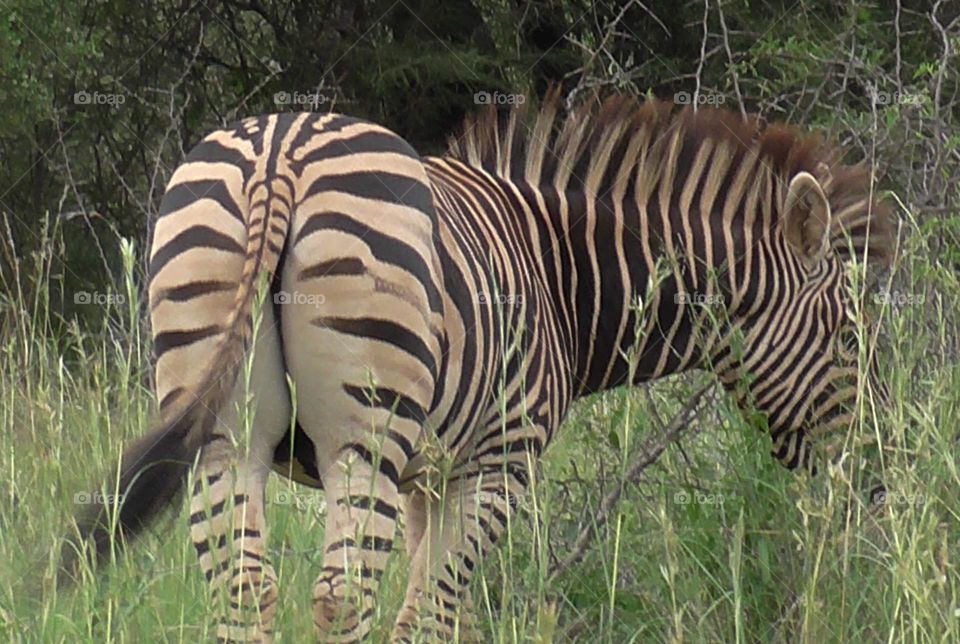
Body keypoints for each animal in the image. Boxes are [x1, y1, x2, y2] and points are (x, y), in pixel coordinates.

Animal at [62, 92, 894, 642]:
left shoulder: (429, 474)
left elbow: (435, 614)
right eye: (851, 335)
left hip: (223, 434)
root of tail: (280, 158)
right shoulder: (495, 464)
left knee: (244, 590)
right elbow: (428, 615)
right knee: (340, 598)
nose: (882, 471)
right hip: (362, 442)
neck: (563, 280)